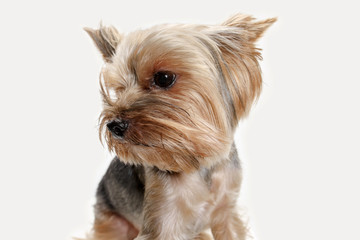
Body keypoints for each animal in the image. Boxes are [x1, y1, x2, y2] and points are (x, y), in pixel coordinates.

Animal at [84, 13, 276, 240]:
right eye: (120, 89)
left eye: (163, 78)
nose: (114, 125)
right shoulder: (163, 218)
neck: (196, 163)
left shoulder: (227, 210)